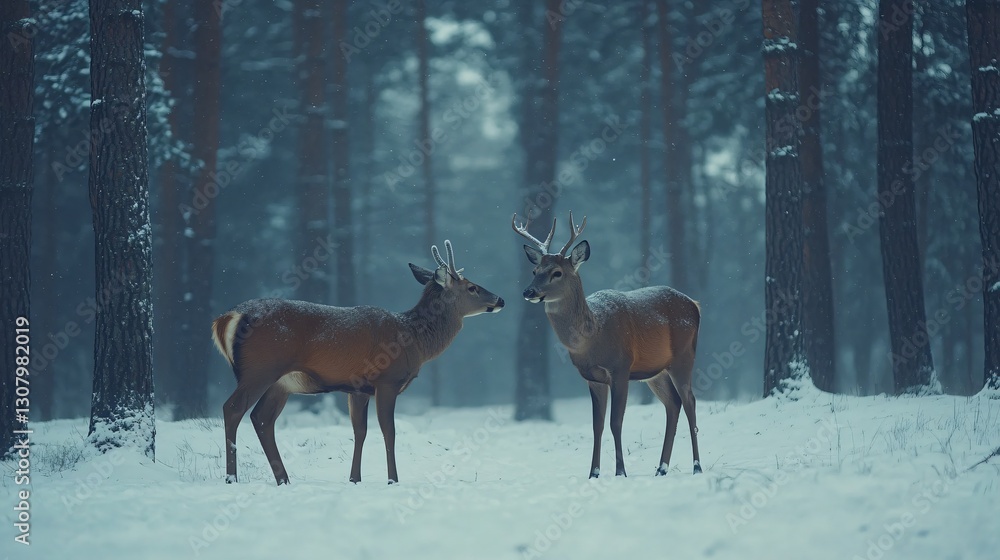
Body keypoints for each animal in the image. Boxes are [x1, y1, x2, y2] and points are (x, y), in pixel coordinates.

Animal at [211, 240, 504, 486]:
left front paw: (354, 479)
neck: (415, 341)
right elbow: (389, 431)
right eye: (472, 287)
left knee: (261, 418)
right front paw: (393, 480)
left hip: (282, 383)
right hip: (260, 369)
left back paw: (283, 479)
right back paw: (231, 478)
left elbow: (360, 431)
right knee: (233, 408)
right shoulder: (387, 380)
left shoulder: (357, 389)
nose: (501, 299)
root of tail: (227, 318)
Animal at [513, 212, 702, 478]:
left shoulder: (620, 368)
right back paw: (661, 468)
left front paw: (620, 471)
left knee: (690, 402)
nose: (528, 292)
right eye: (535, 269)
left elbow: (616, 421)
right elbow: (597, 425)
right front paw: (594, 472)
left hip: (684, 356)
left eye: (557, 272)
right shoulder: (592, 377)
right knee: (673, 404)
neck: (594, 336)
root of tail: (695, 304)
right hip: (656, 371)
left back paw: (696, 466)